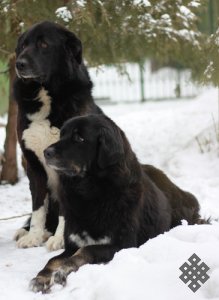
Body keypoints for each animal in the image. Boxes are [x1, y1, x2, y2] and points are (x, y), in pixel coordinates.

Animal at [13, 21, 102, 251]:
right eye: (23, 45)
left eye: (44, 44)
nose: (19, 64)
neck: (46, 91)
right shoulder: (33, 165)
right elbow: (37, 208)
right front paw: (34, 236)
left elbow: (65, 210)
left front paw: (60, 238)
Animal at [30, 113, 204, 292]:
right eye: (61, 135)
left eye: (79, 138)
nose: (45, 152)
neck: (91, 193)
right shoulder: (71, 244)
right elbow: (53, 260)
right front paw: (42, 277)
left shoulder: (123, 245)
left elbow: (86, 250)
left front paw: (63, 270)